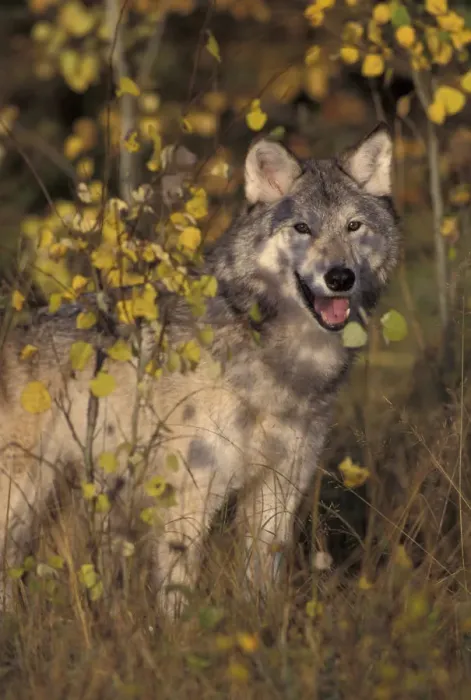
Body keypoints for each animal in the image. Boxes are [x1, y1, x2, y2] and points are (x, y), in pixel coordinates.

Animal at [0, 123, 398, 616]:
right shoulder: (189, 493)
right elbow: (177, 595)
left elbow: (260, 584)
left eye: (353, 226)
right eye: (302, 228)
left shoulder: (279, 488)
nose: (339, 277)